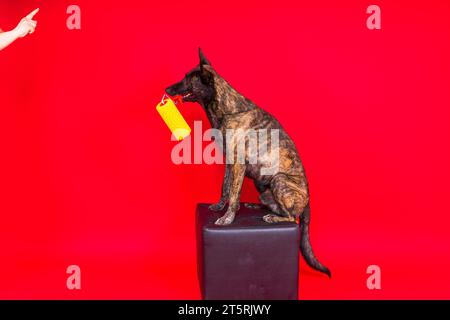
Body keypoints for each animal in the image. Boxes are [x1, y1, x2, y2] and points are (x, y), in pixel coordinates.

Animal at [165, 48, 330, 276]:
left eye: (187, 79)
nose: (166, 89)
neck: (227, 109)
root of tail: (308, 204)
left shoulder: (238, 163)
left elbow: (234, 195)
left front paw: (227, 218)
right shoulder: (229, 162)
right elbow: (225, 188)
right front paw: (219, 206)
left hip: (279, 180)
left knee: (290, 216)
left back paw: (273, 218)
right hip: (263, 186)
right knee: (277, 207)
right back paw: (257, 206)